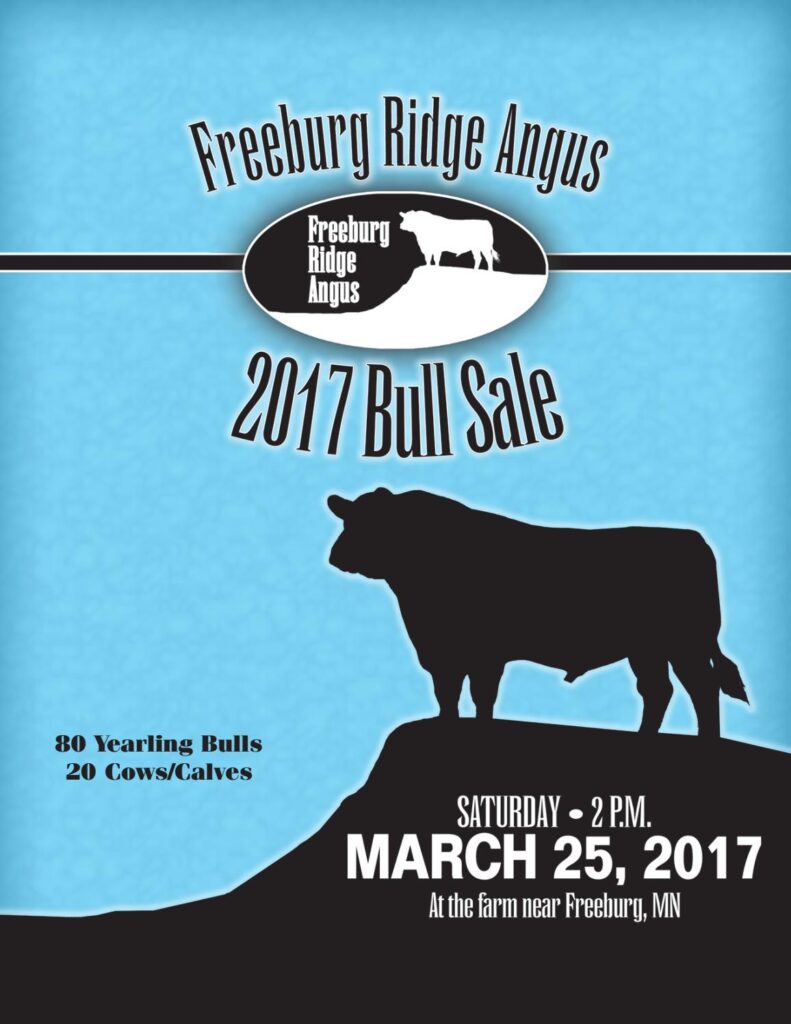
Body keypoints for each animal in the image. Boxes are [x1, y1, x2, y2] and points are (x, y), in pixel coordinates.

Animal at [327, 487, 748, 738]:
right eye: (349, 520)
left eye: (375, 523)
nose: (336, 555)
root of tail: (693, 539)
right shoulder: (440, 652)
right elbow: (447, 695)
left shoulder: (485, 654)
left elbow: (482, 696)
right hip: (647, 649)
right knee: (659, 690)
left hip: (686, 643)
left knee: (702, 687)